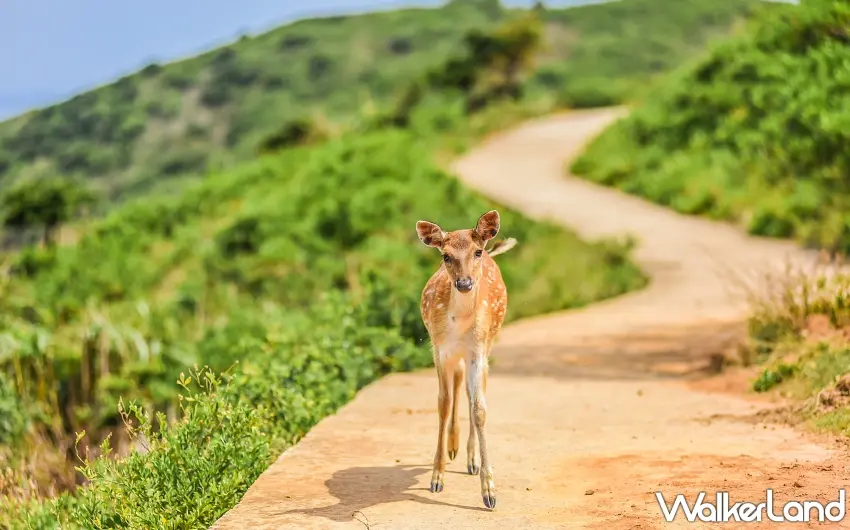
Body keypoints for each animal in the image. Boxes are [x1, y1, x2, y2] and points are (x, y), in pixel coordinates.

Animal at [415, 209, 517, 510]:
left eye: (477, 251)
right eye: (445, 256)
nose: (464, 283)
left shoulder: (478, 350)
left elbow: (479, 409)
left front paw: (489, 492)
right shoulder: (439, 349)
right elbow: (443, 404)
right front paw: (437, 478)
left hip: (489, 344)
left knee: (473, 392)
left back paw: (471, 460)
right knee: (458, 385)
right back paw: (453, 447)